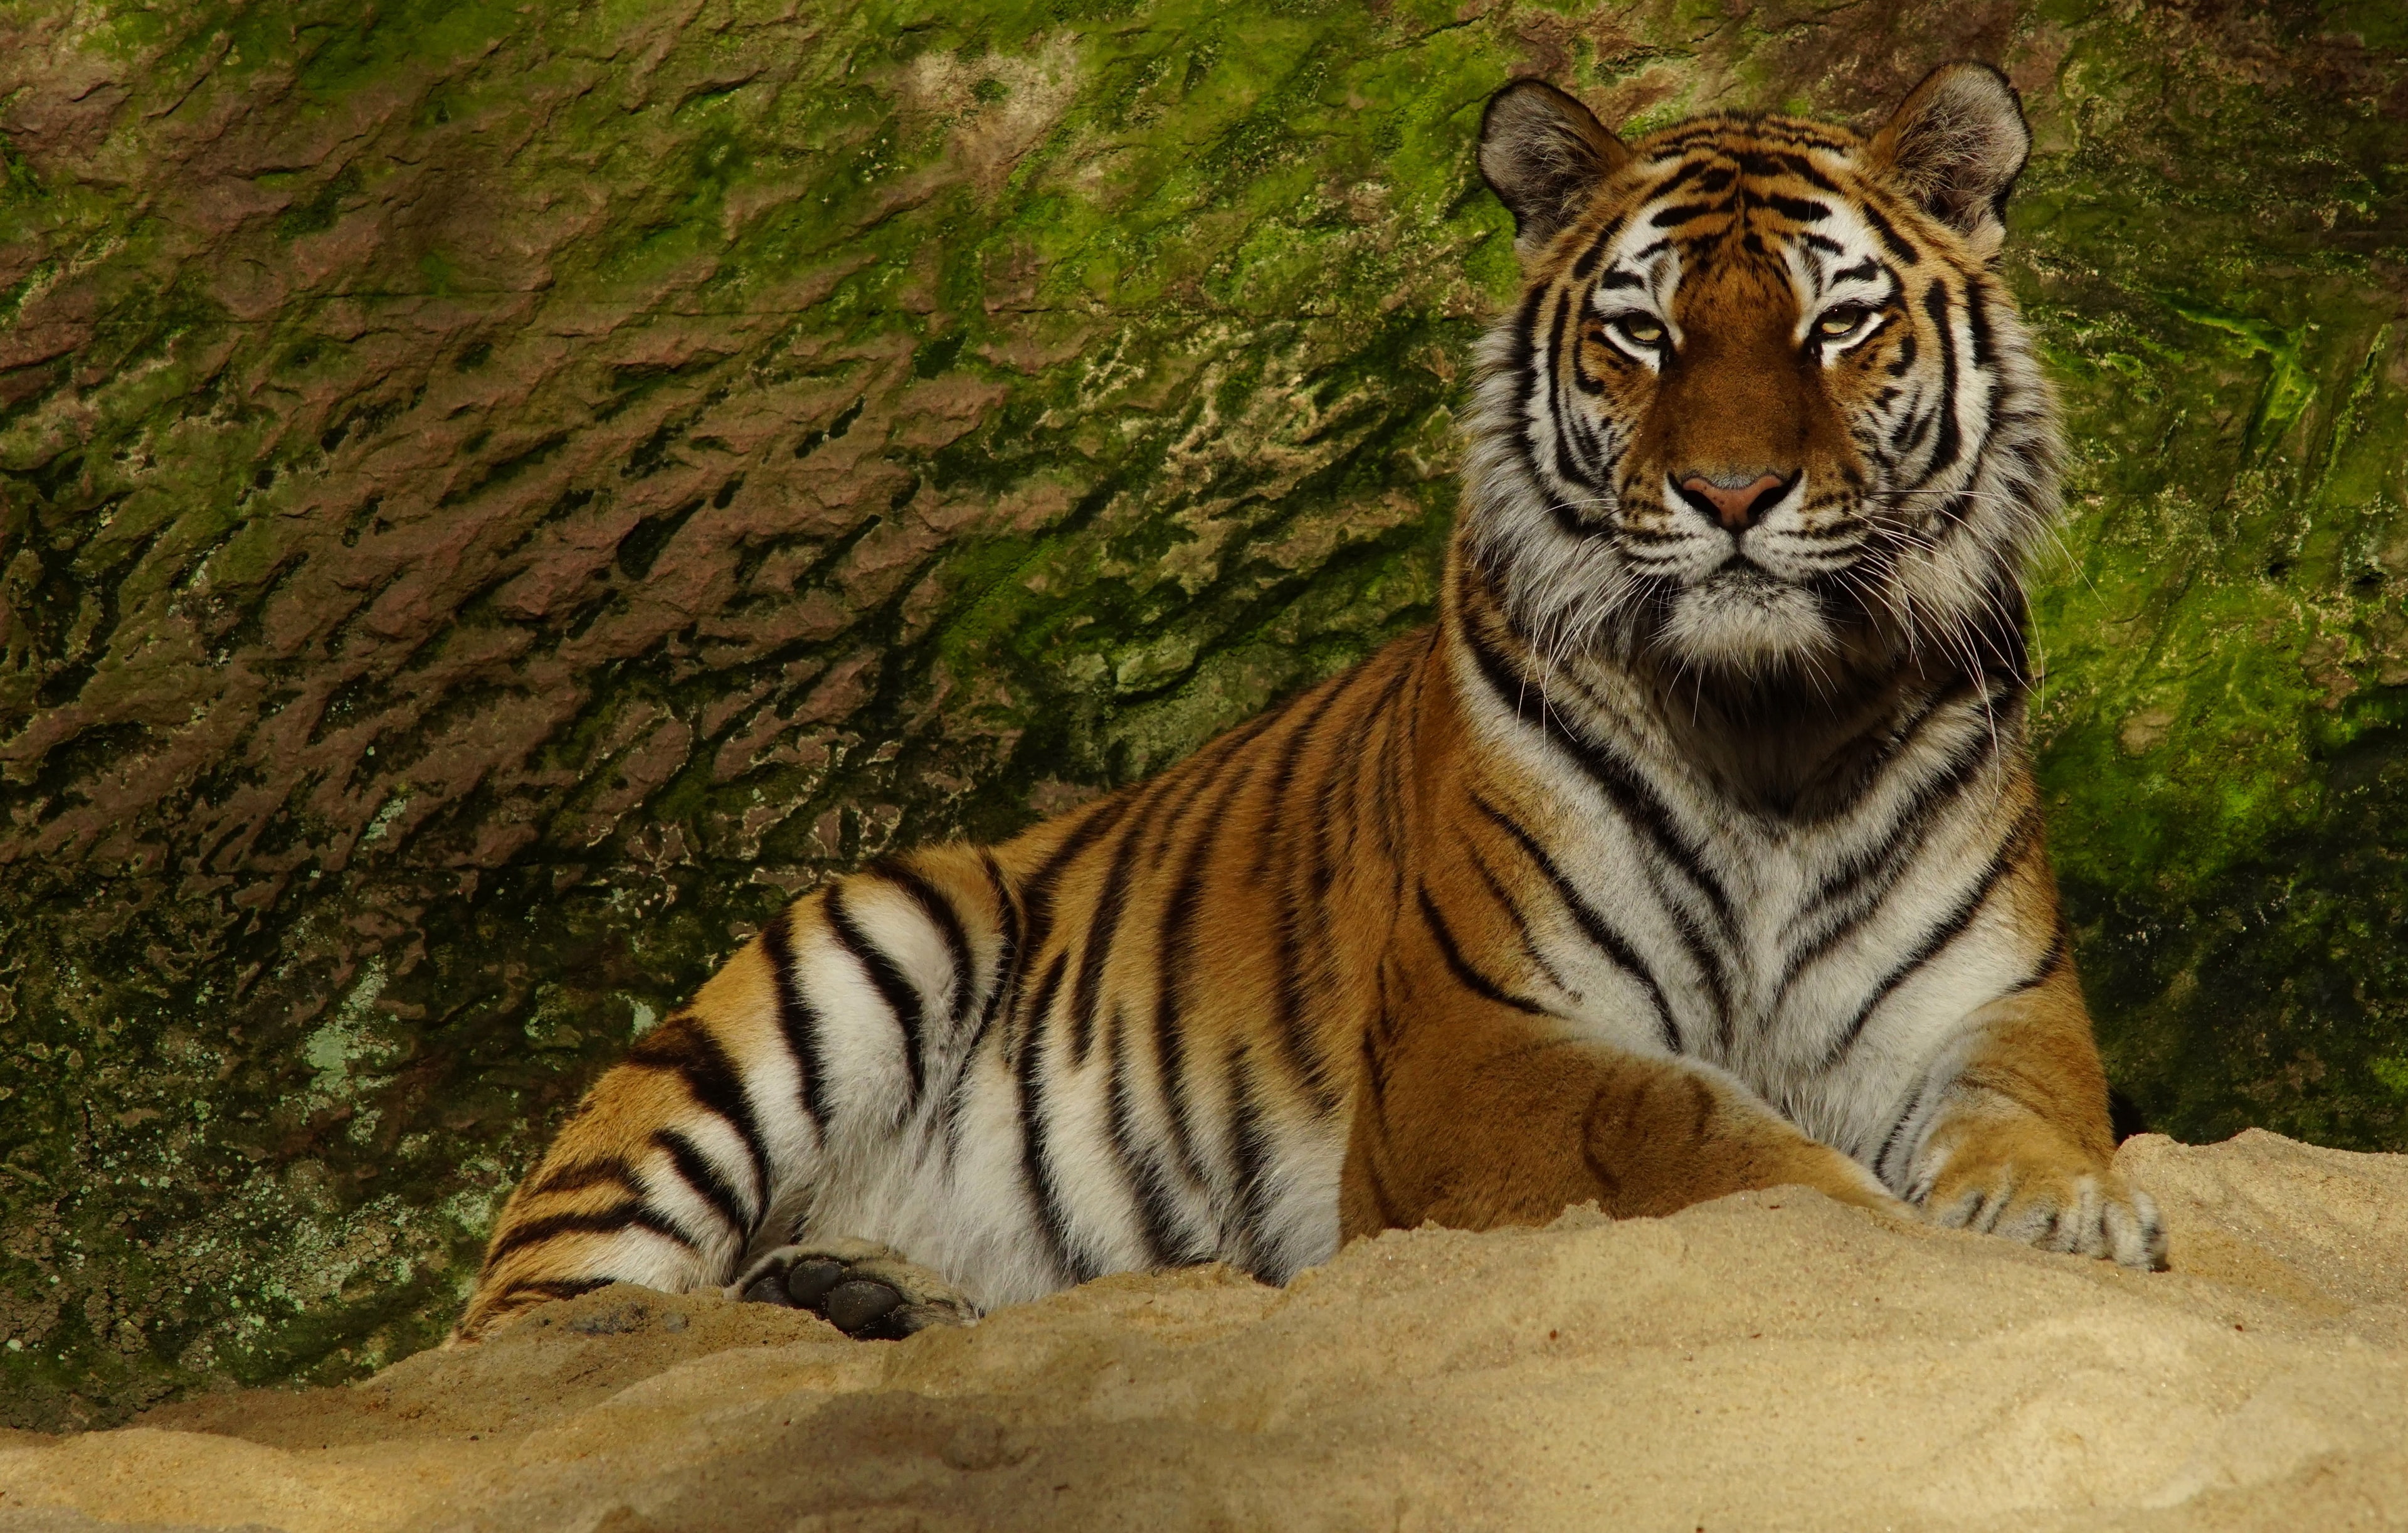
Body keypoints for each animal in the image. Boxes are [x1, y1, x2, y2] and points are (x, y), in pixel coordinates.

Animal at [456, 60, 2166, 1344]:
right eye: (1642, 331)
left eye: (1835, 324)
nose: (1733, 493)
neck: (1770, 726)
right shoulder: (1483, 1039)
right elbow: (1702, 1135)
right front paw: (1875, 1221)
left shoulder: (1999, 1000)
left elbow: (2022, 1113)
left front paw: (2066, 1208)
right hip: (862, 946)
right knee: (546, 1320)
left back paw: (865, 1293)